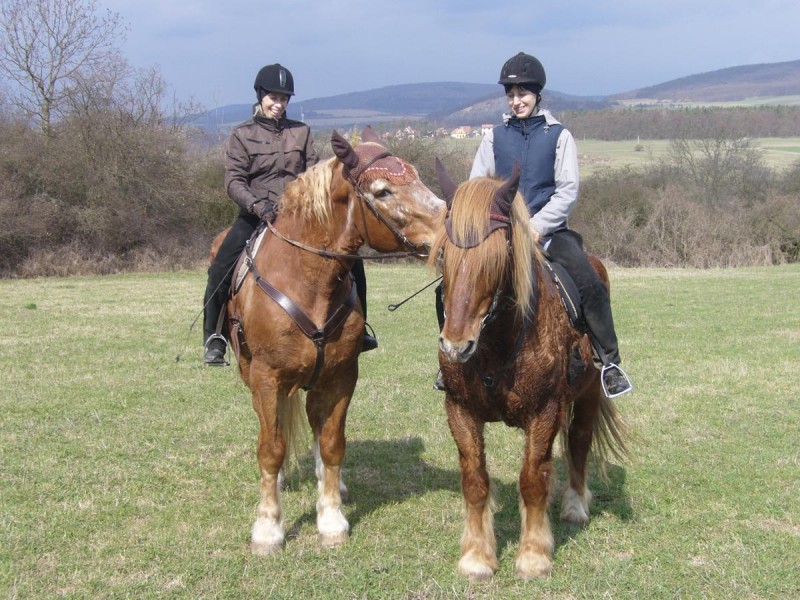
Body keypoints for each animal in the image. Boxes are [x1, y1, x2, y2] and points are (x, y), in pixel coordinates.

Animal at [216, 129, 446, 556]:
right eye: (383, 190)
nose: (451, 231)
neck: (306, 279)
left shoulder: (341, 377)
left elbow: (332, 443)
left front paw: (331, 518)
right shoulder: (267, 379)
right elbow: (270, 448)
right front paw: (268, 528)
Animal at [428, 161, 628, 580]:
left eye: (498, 255)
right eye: (443, 256)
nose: (456, 346)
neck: (497, 343)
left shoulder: (545, 410)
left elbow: (532, 478)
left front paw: (534, 554)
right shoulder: (460, 410)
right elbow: (475, 480)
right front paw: (477, 556)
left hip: (588, 395)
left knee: (579, 443)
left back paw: (575, 505)